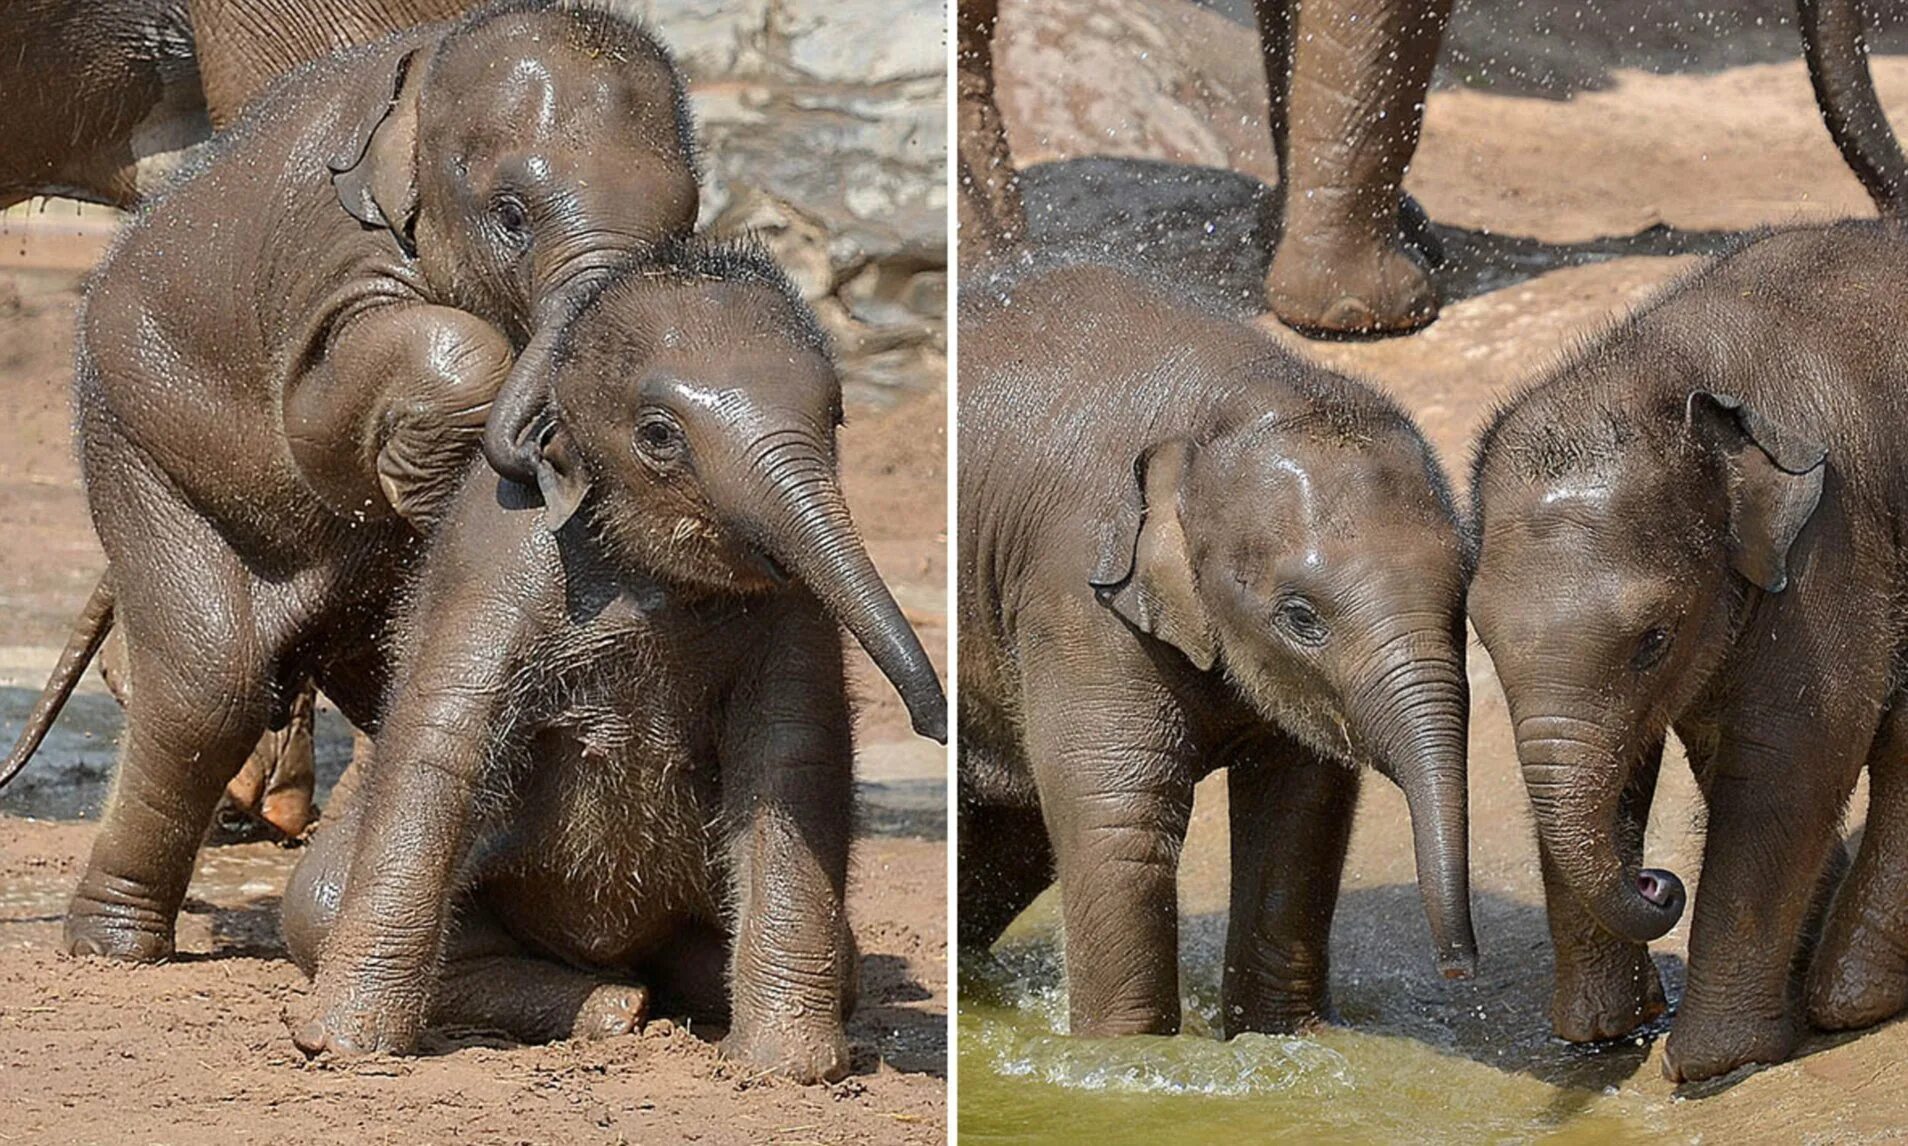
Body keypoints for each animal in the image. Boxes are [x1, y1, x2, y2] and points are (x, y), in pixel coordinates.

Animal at [961, 257, 1480, 1037]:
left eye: (1464, 596)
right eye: (1300, 616)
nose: (1459, 970)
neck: (1220, 405)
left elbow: (1302, 813)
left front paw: (1284, 1040)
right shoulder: (1074, 593)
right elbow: (1123, 820)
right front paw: (1126, 1055)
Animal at [1465, 221, 1908, 1083]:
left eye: (1654, 640)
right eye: (1483, 637)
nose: (1656, 881)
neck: (1667, 369)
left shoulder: (1833, 537)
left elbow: (1789, 754)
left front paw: (1711, 1061)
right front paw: (1605, 1032)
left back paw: (1849, 1001)